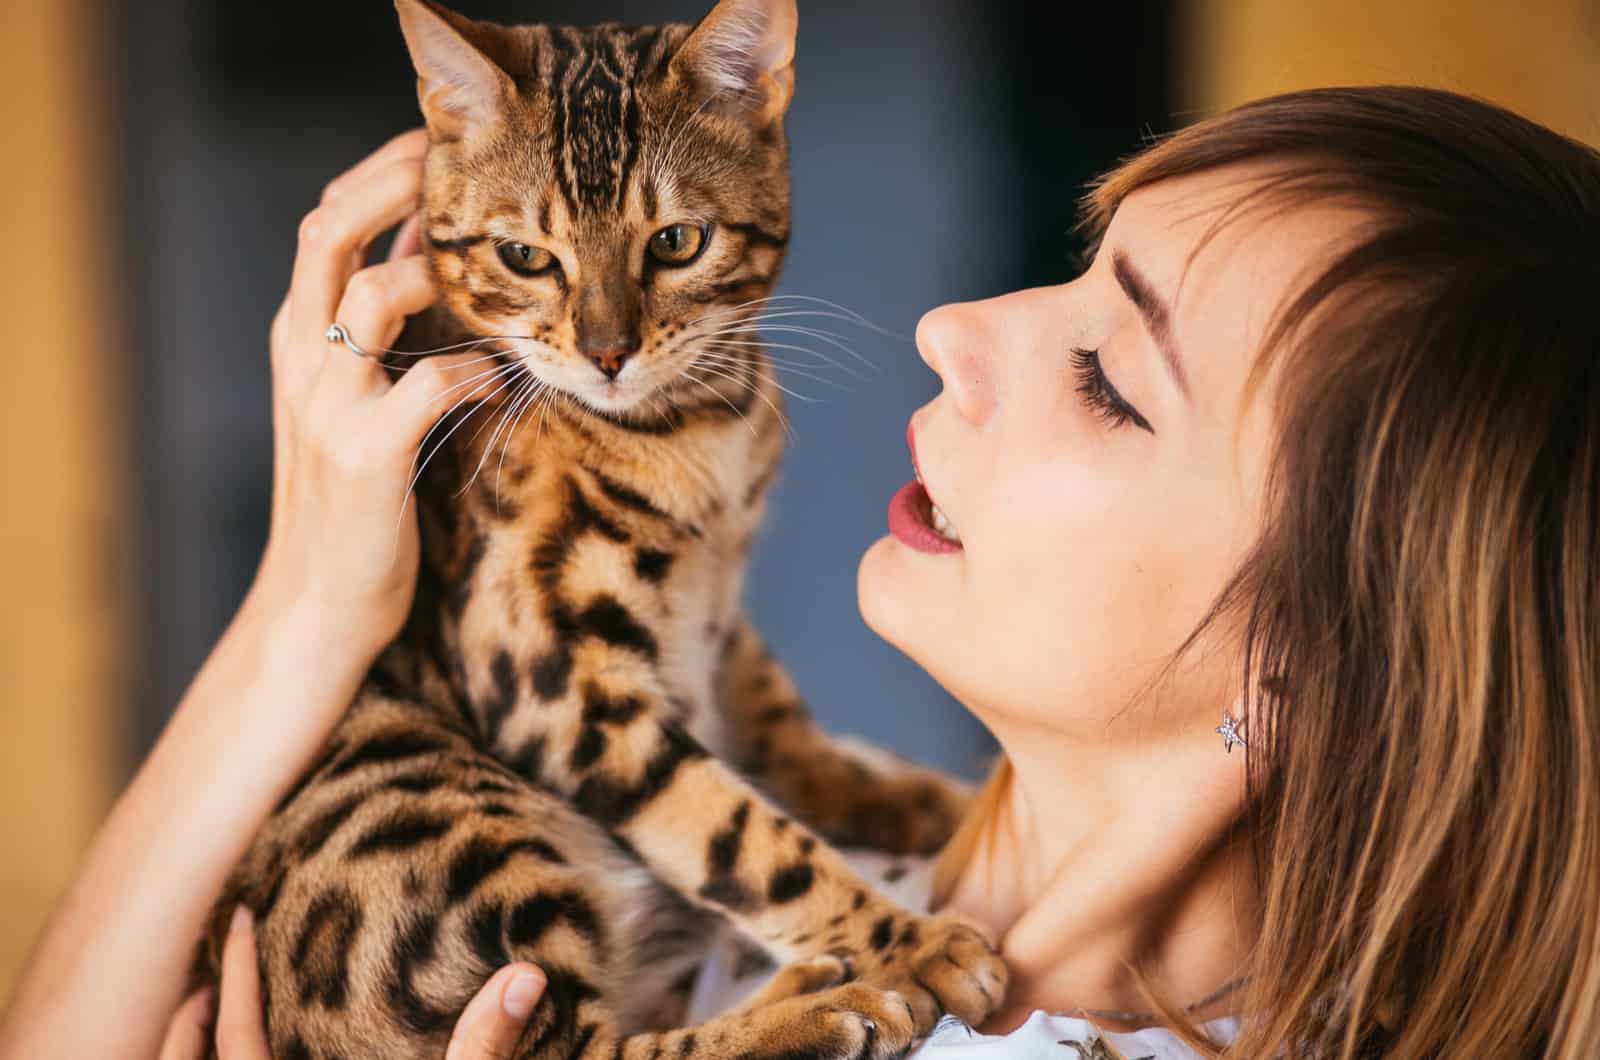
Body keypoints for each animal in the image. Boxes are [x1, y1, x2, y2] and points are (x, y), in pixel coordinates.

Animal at [193, 0, 1004, 1056]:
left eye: (678, 242)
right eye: (525, 257)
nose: (607, 352)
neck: (695, 432)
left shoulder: (718, 616)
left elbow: (778, 724)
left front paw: (912, 801)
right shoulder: (555, 679)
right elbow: (741, 837)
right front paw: (909, 943)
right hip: (426, 789)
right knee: (581, 1041)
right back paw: (830, 1004)